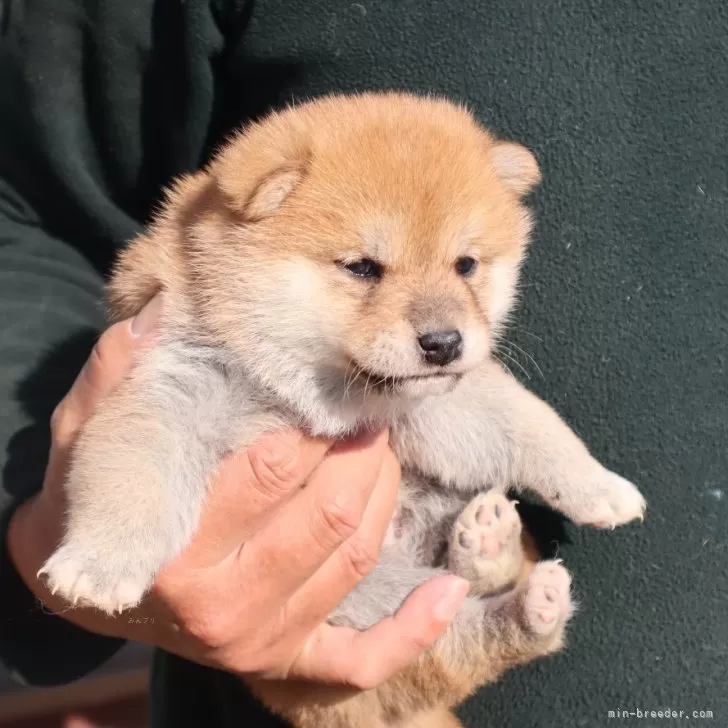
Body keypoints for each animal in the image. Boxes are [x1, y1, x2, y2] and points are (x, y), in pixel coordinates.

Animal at [38, 94, 644, 724]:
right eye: (362, 268)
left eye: (466, 264)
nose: (444, 343)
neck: (314, 388)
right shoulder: (172, 388)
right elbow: (134, 475)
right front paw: (99, 564)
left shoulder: (436, 408)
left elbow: (529, 425)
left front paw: (599, 485)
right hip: (376, 601)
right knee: (456, 636)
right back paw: (516, 591)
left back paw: (497, 556)